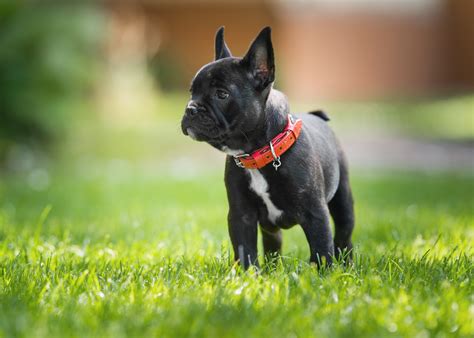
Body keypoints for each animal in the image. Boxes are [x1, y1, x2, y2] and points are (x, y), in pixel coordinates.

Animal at [181, 26, 356, 268]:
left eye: (222, 94)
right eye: (191, 92)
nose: (191, 108)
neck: (259, 154)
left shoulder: (315, 214)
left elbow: (322, 249)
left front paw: (325, 274)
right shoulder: (241, 214)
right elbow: (245, 250)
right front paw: (248, 275)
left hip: (343, 200)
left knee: (343, 234)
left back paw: (346, 265)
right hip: (271, 228)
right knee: (274, 242)